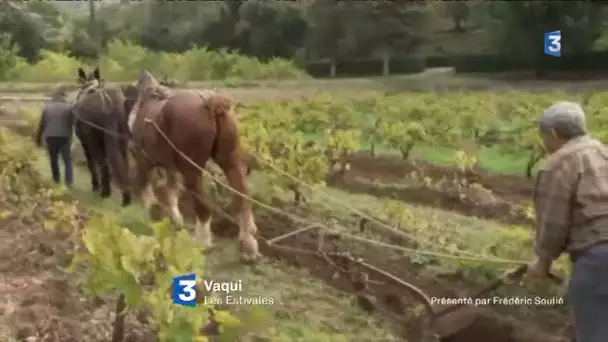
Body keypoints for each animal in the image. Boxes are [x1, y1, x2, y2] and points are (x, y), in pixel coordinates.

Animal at [73, 67, 131, 206]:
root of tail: (108, 104)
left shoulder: (86, 143)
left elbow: (91, 164)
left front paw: (95, 186)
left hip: (94, 142)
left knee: (102, 164)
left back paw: (105, 192)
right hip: (121, 141)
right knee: (124, 164)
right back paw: (126, 197)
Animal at [127, 71, 260, 260]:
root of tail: (210, 104)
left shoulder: (144, 159)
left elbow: (146, 188)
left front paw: (152, 214)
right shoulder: (170, 166)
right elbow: (171, 190)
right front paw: (175, 219)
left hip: (191, 168)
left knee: (203, 207)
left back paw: (201, 242)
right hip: (231, 160)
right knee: (242, 198)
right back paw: (248, 245)